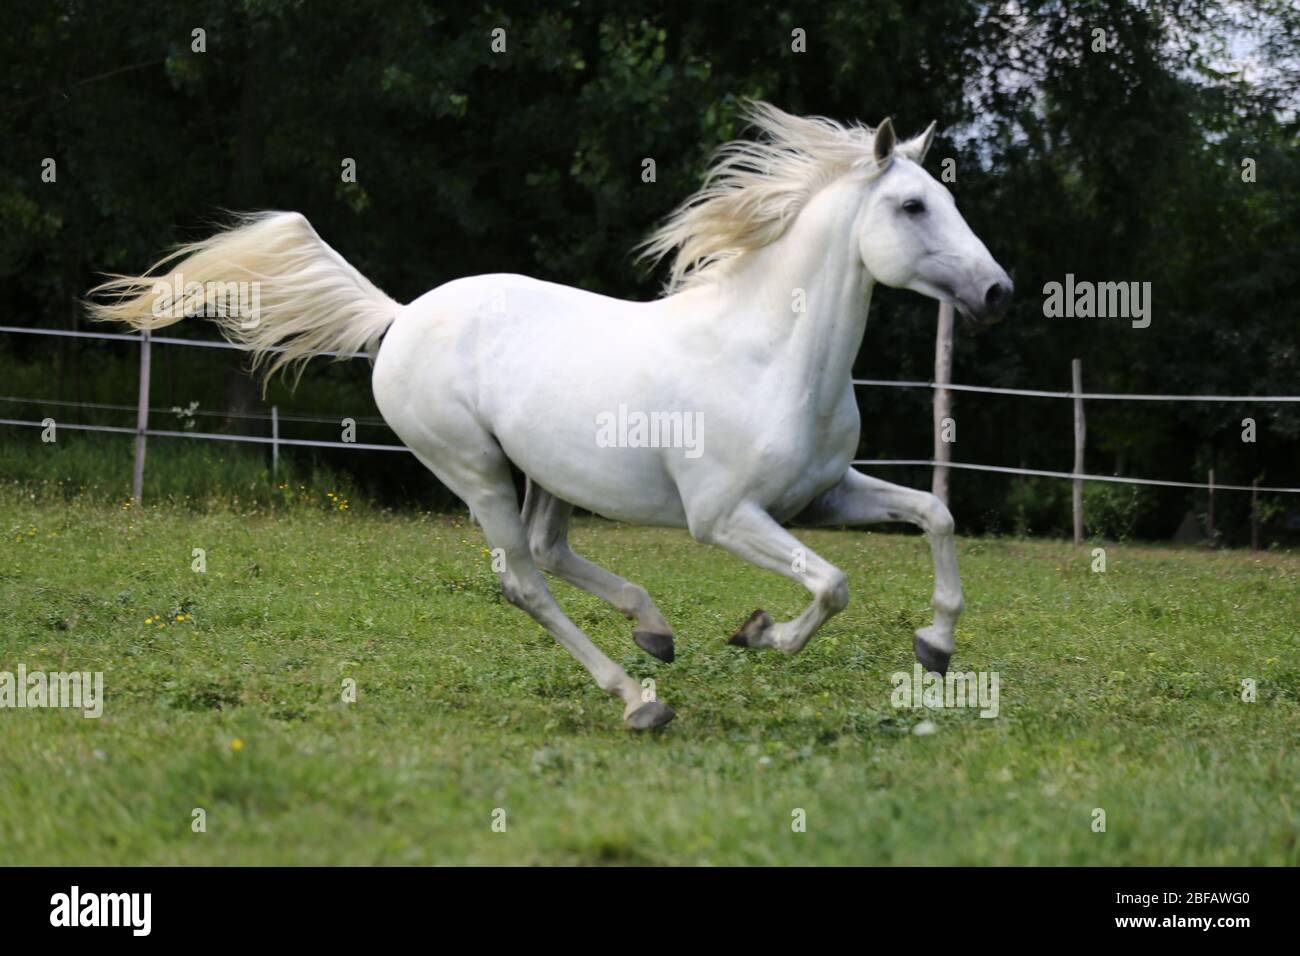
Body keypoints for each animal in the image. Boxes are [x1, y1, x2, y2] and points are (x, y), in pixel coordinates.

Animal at [91, 102, 1008, 733]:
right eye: (913, 208)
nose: (996, 290)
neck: (769, 354)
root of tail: (401, 315)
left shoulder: (821, 496)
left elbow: (934, 514)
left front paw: (936, 645)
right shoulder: (725, 518)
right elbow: (833, 585)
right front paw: (760, 634)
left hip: (548, 473)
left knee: (551, 551)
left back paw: (653, 631)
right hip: (475, 472)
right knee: (523, 579)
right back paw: (638, 699)